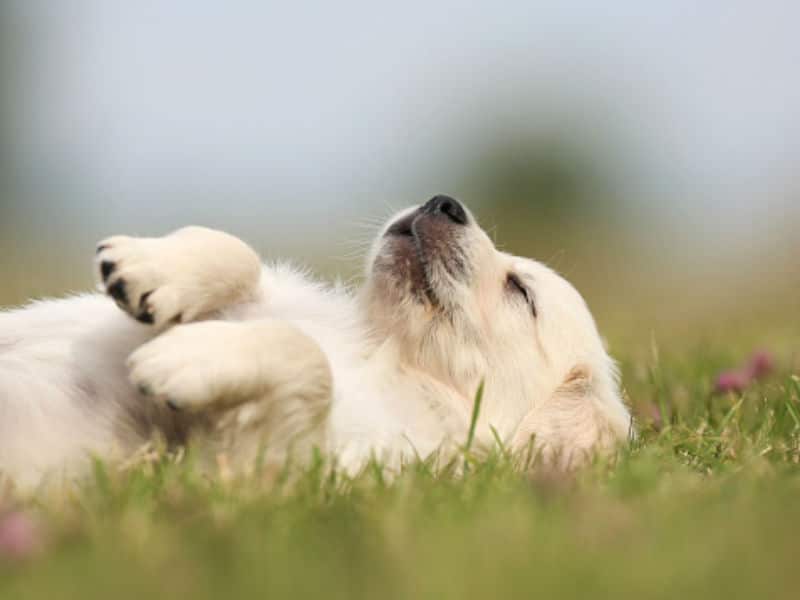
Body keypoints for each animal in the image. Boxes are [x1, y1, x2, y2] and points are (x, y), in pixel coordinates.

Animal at [0, 195, 632, 490]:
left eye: (520, 292)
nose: (443, 202)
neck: (387, 352)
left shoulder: (275, 471)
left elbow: (307, 360)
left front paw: (182, 357)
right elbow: (241, 255)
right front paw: (150, 266)